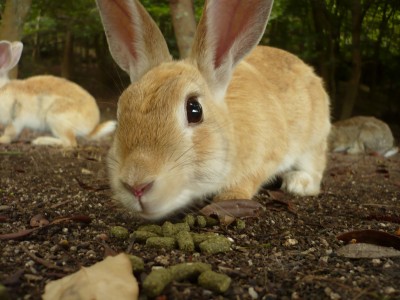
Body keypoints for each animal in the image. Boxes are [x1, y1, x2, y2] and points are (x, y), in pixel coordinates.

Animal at [96, 0, 332, 220]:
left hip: (314, 139)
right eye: (120, 111)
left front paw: (229, 197)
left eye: (194, 110)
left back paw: (297, 182)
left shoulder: (266, 154)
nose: (136, 185)